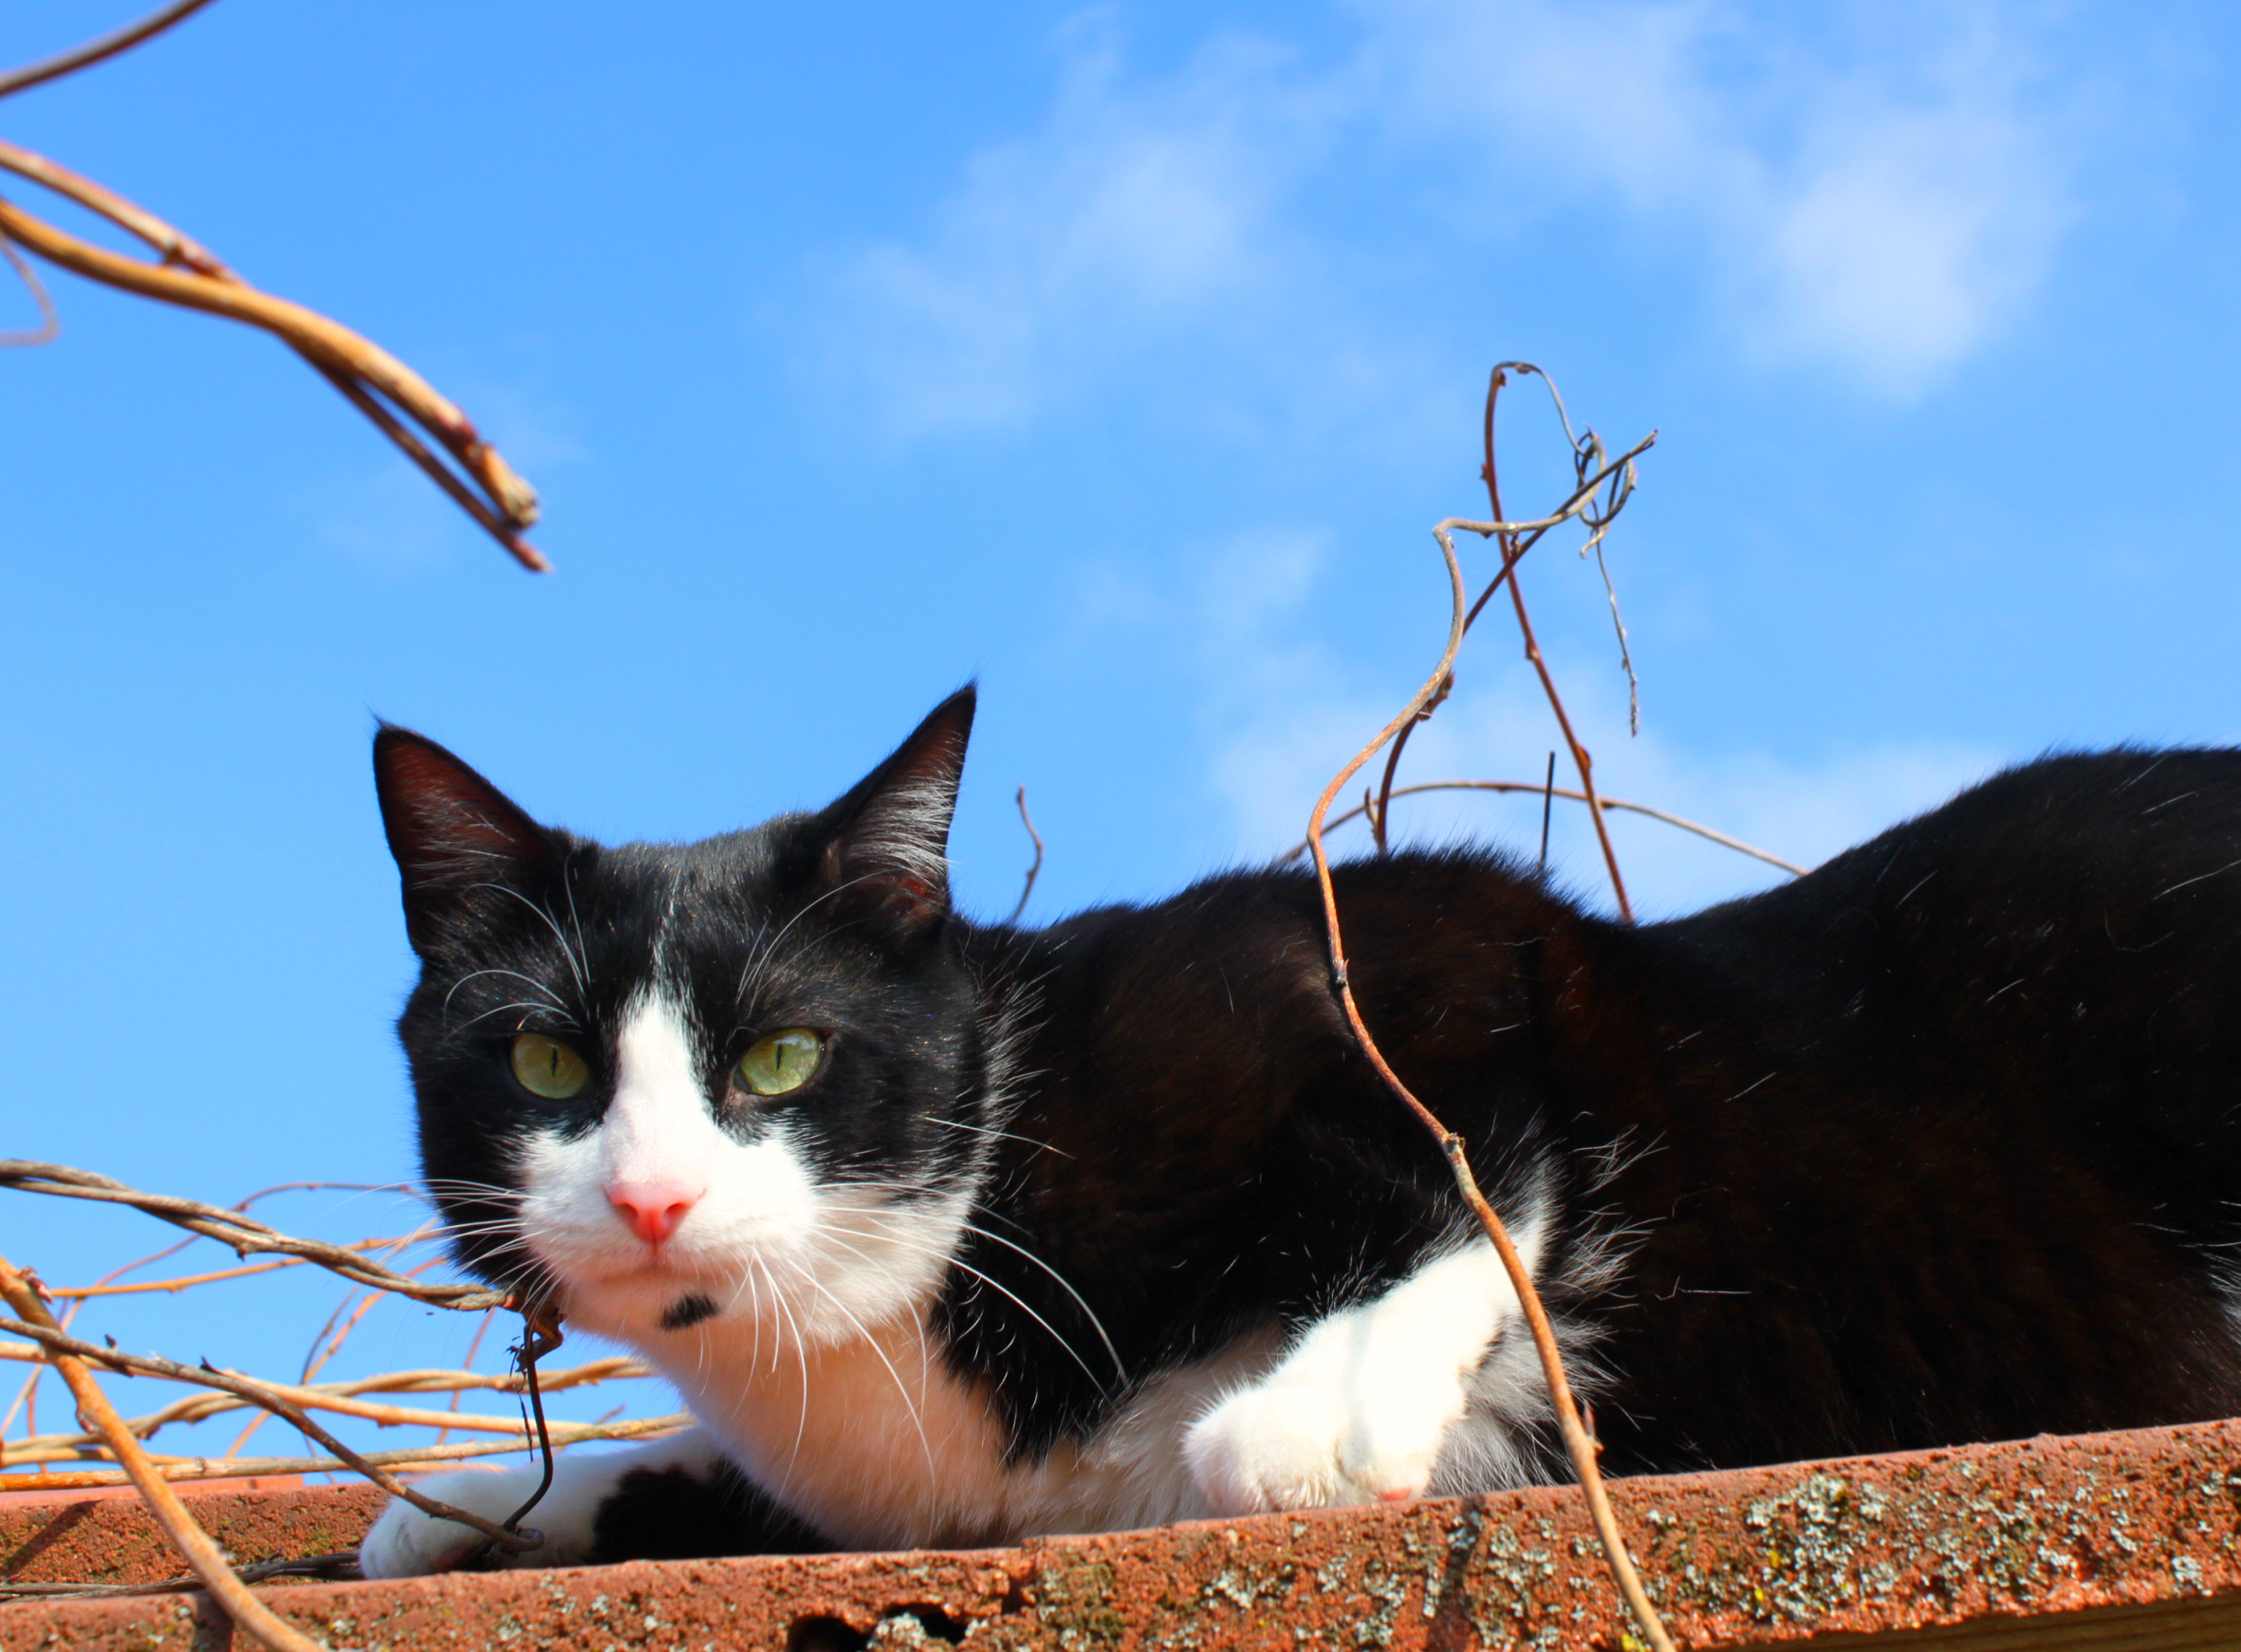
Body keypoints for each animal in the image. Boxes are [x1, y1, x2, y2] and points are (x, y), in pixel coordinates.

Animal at [354, 695, 2241, 1568]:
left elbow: (1474, 1167)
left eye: (782, 1055)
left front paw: (1307, 1423)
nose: (654, 1198)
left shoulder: (1442, 946)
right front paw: (473, 1497)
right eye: (544, 1065)